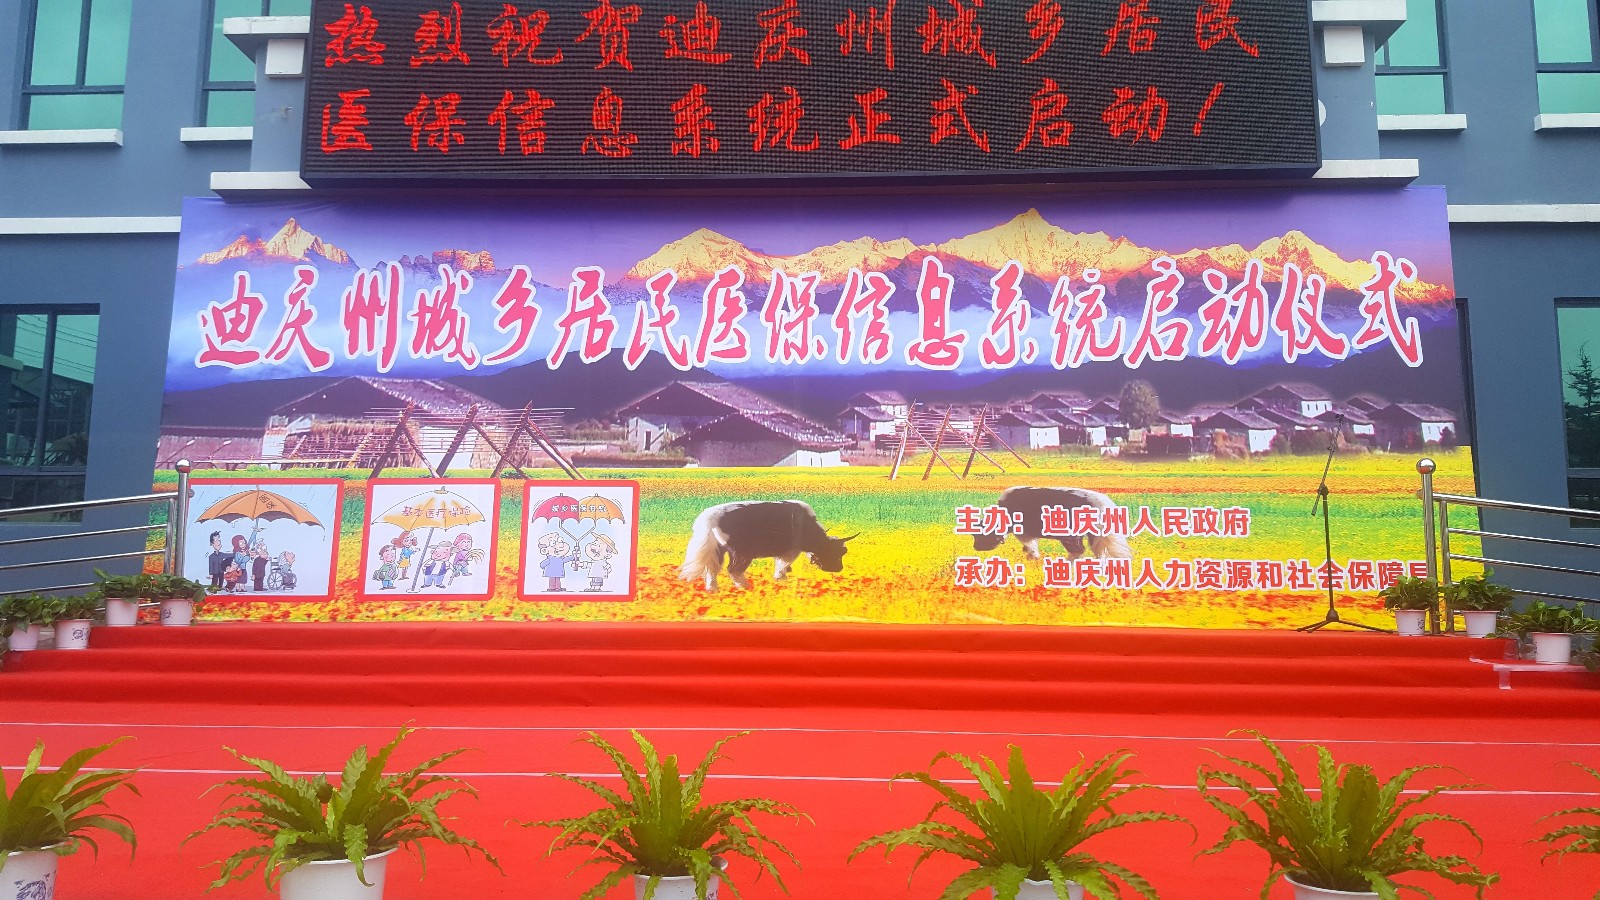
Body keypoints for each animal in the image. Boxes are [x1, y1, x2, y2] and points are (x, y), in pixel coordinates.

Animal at [679, 500, 856, 592]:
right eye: (836, 552)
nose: (839, 569)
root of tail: (709, 518)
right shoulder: (790, 550)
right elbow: (783, 564)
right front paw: (780, 578)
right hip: (742, 553)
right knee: (733, 570)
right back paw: (746, 587)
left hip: (718, 550)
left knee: (712, 569)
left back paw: (713, 589)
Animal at [972, 486, 1132, 559]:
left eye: (979, 535)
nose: (975, 547)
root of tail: (1105, 504)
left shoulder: (1023, 531)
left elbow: (1029, 545)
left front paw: (1032, 557)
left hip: (1072, 536)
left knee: (1079, 551)